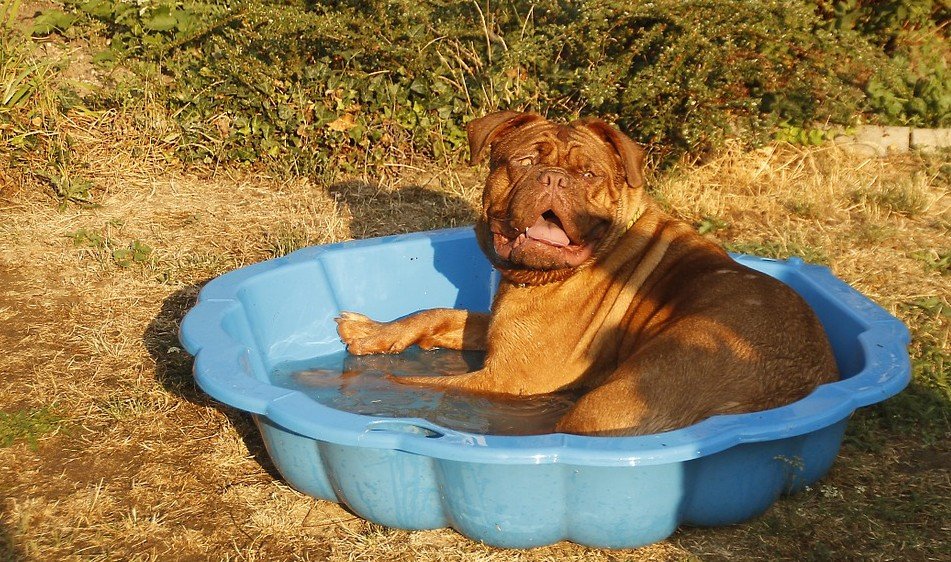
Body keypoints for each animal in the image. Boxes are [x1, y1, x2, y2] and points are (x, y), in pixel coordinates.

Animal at [336, 109, 840, 434]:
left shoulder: (509, 379)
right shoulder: (500, 329)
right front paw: (371, 331)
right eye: (524, 161)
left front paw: (379, 385)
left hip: (611, 402)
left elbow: (416, 382)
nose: (554, 178)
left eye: (589, 174)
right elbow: (436, 313)